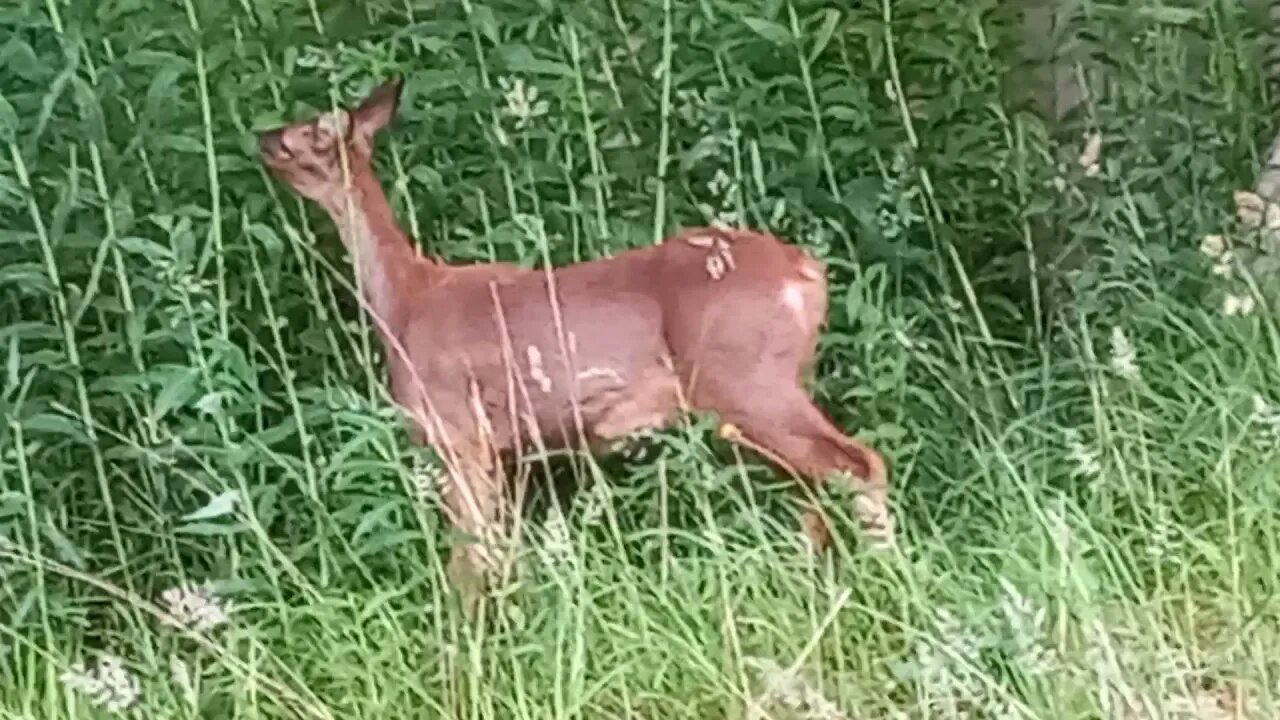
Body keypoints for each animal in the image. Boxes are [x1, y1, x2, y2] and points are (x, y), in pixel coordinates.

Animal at [254, 77, 896, 604]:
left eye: (314, 130)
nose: (263, 136)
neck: (406, 299)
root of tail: (808, 274)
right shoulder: (507, 455)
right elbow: (503, 557)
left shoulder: (460, 435)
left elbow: (469, 564)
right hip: (771, 389)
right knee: (815, 486)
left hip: (746, 380)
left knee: (860, 463)